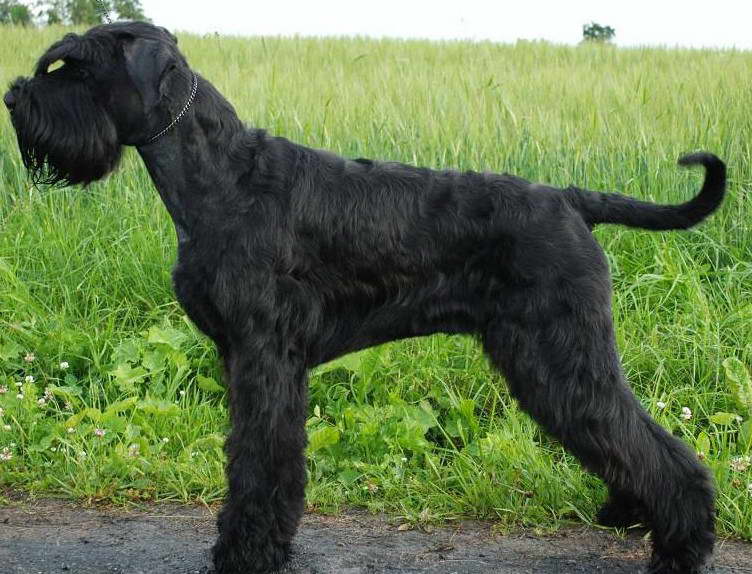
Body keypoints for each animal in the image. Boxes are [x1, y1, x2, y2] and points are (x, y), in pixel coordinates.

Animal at [2, 22, 724, 574]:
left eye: (73, 66)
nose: (14, 97)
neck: (222, 177)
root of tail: (572, 199)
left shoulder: (265, 354)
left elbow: (260, 459)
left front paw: (246, 551)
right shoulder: (246, 359)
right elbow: (256, 457)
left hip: (559, 352)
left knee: (652, 444)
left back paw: (680, 546)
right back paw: (632, 513)